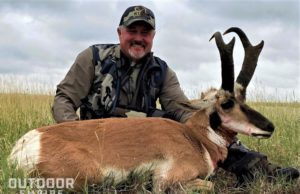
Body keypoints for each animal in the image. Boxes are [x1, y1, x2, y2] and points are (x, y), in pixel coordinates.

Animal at [9, 27, 274, 192]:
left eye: (244, 98)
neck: (196, 138)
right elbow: (210, 185)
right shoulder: (166, 180)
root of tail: (26, 143)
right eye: (227, 103)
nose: (270, 127)